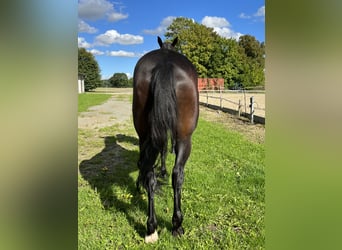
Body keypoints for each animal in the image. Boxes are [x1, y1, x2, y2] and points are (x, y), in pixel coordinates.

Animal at [132, 36, 199, 242]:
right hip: (185, 138)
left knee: (150, 173)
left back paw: (151, 227)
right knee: (176, 174)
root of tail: (164, 63)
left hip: (146, 135)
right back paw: (176, 224)